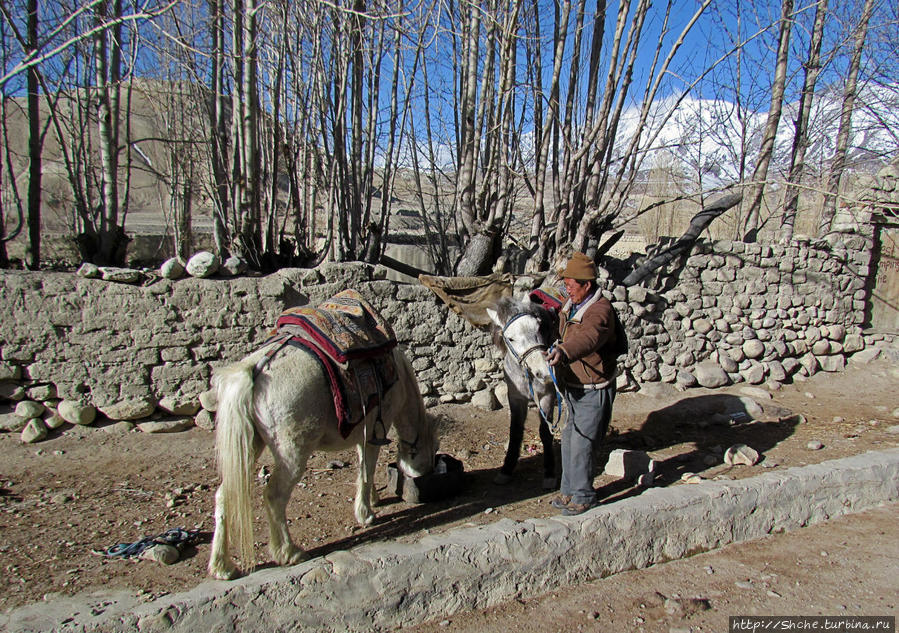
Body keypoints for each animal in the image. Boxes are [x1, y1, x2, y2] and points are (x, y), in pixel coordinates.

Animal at [208, 340, 440, 576]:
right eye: (432, 450)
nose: (430, 471)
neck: (400, 377)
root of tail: (256, 367)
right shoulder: (376, 432)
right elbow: (368, 469)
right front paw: (365, 514)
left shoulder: (362, 432)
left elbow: (363, 468)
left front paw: (372, 499)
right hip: (292, 454)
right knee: (274, 496)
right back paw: (289, 552)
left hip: (249, 446)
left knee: (224, 495)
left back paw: (223, 567)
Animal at [486, 296, 564, 488]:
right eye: (510, 338)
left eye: (540, 327)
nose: (544, 372)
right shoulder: (515, 398)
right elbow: (515, 431)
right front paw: (506, 470)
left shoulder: (547, 397)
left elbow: (545, 432)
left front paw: (549, 473)